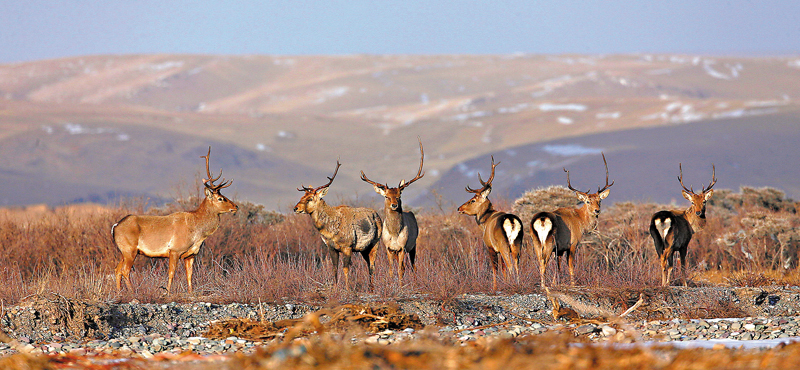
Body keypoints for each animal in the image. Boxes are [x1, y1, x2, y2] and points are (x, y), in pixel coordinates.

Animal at [112, 146, 238, 294]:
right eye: (220, 198)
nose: (236, 206)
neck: (197, 232)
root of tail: (115, 226)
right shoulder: (175, 250)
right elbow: (171, 273)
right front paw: (167, 292)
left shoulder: (191, 254)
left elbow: (189, 275)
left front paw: (190, 292)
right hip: (129, 249)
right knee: (125, 271)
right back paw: (133, 292)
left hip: (123, 251)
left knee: (117, 270)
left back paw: (119, 292)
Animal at [294, 160, 384, 290]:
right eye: (302, 196)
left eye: (310, 198)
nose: (295, 208)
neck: (329, 230)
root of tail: (379, 216)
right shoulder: (331, 248)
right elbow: (334, 268)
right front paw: (335, 288)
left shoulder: (347, 246)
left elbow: (345, 269)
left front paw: (347, 289)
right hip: (363, 249)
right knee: (368, 264)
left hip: (375, 243)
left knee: (372, 265)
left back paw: (372, 289)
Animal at [360, 139, 424, 280]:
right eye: (387, 196)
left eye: (399, 196)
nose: (394, 205)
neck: (394, 234)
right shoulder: (388, 248)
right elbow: (390, 270)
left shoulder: (402, 247)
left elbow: (400, 270)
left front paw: (400, 285)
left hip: (413, 245)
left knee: (413, 266)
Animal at [528, 152, 616, 286]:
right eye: (588, 201)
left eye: (599, 200)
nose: (597, 210)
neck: (581, 222)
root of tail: (541, 219)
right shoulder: (573, 243)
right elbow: (570, 265)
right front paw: (573, 283)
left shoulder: (559, 249)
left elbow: (558, 266)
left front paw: (556, 283)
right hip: (549, 242)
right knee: (543, 263)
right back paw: (543, 286)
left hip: (536, 242)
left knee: (540, 262)